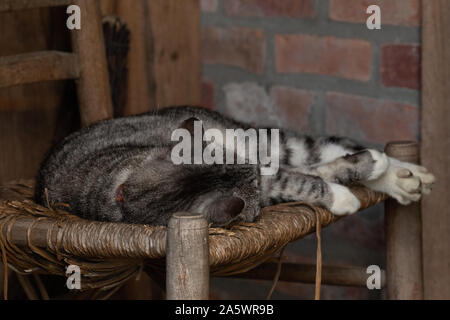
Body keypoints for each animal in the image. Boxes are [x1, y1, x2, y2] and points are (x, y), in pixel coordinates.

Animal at [33, 106, 434, 226]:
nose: (254, 169)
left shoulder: (256, 163)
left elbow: (301, 174)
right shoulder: (263, 182)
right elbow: (301, 181)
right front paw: (341, 197)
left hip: (266, 140)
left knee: (317, 149)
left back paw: (401, 171)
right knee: (311, 163)